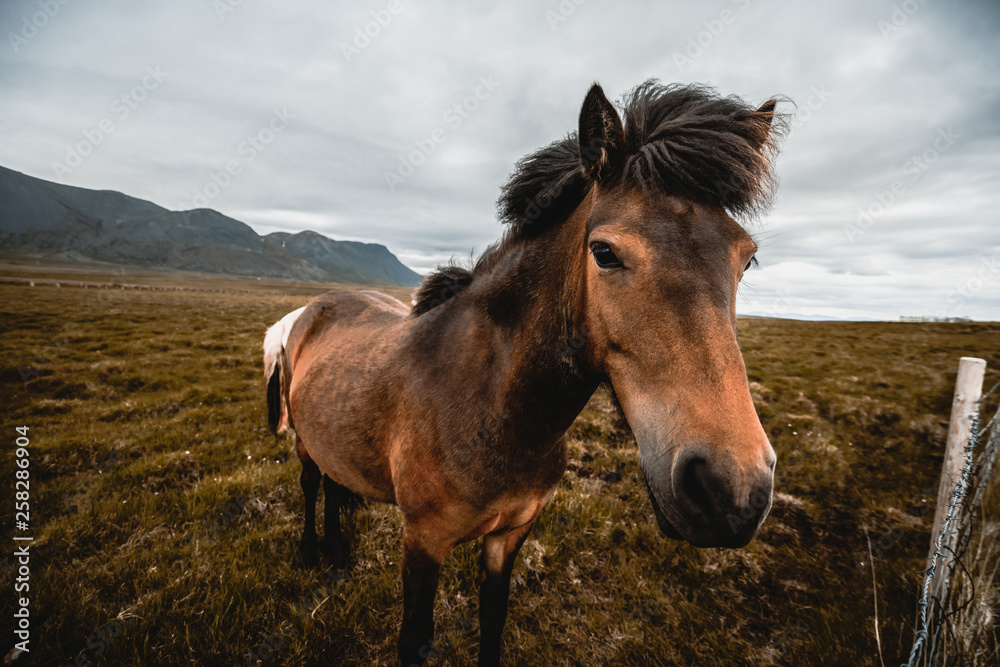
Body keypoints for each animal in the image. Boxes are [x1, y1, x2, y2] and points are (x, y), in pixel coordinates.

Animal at [266, 79, 788, 667]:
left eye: (746, 259)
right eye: (604, 252)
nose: (731, 489)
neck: (495, 409)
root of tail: (310, 309)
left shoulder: (511, 533)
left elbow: (493, 620)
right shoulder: (422, 540)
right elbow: (415, 639)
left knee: (335, 485)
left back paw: (336, 551)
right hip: (304, 441)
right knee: (312, 484)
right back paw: (311, 551)